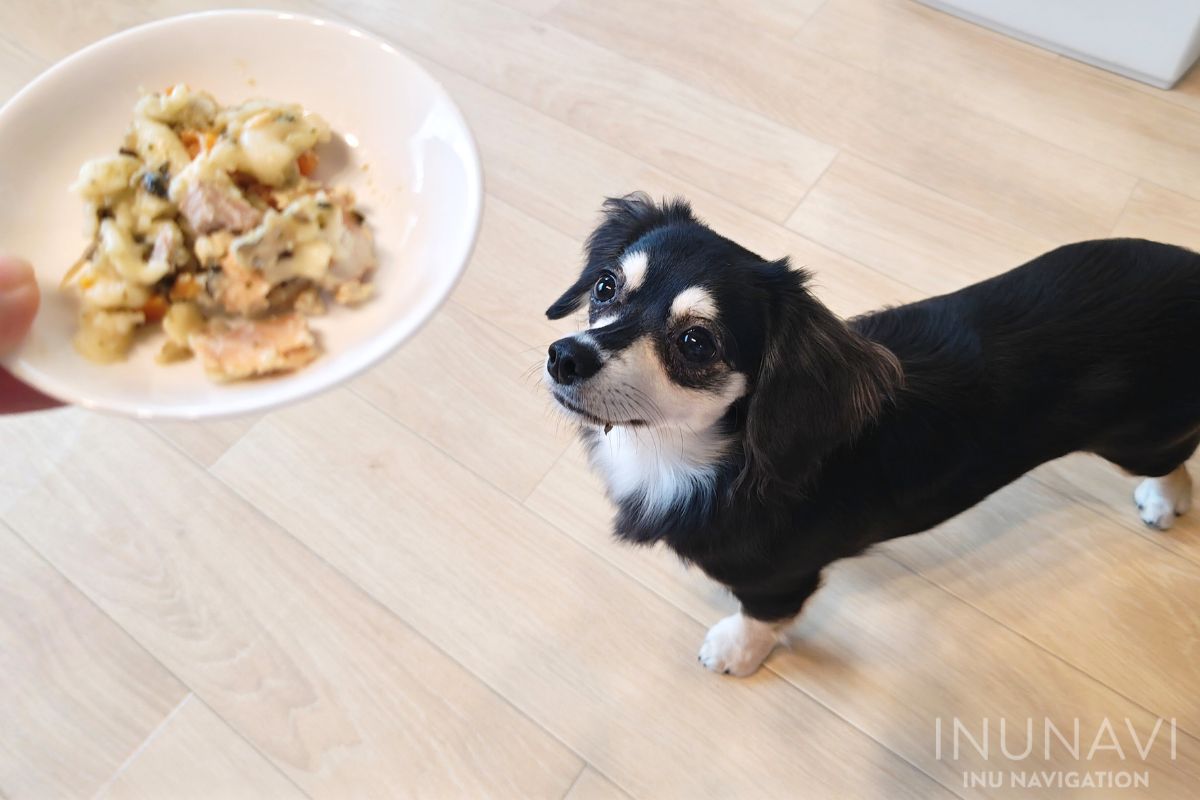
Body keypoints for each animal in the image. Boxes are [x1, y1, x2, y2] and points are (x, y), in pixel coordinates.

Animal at [549, 194, 1200, 676]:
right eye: (605, 286)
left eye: (695, 342)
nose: (564, 357)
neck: (687, 453)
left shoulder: (777, 577)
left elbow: (762, 616)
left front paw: (735, 649)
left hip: (1140, 437)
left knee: (1175, 461)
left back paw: (1162, 501)